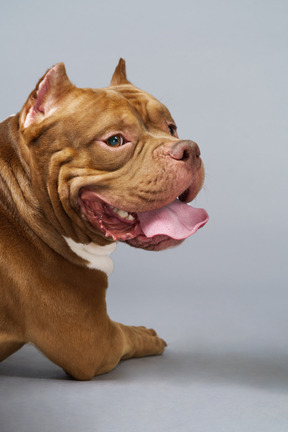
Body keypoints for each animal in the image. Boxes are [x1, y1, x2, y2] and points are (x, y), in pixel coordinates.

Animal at [0, 59, 208, 380]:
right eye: (114, 140)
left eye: (172, 128)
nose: (190, 149)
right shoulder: (95, 342)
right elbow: (126, 335)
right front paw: (146, 334)